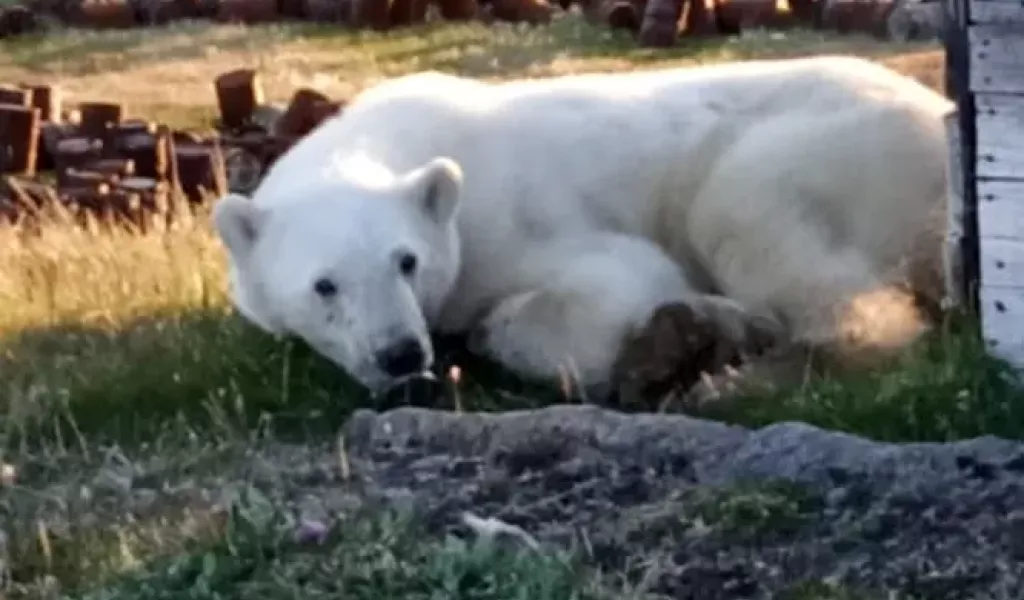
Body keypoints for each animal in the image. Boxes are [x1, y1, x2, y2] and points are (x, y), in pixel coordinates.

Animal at [211, 56, 954, 399]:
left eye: (407, 260)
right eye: (324, 285)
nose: (400, 354)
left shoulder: (512, 218)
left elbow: (616, 283)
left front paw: (490, 331)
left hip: (833, 146)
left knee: (748, 215)